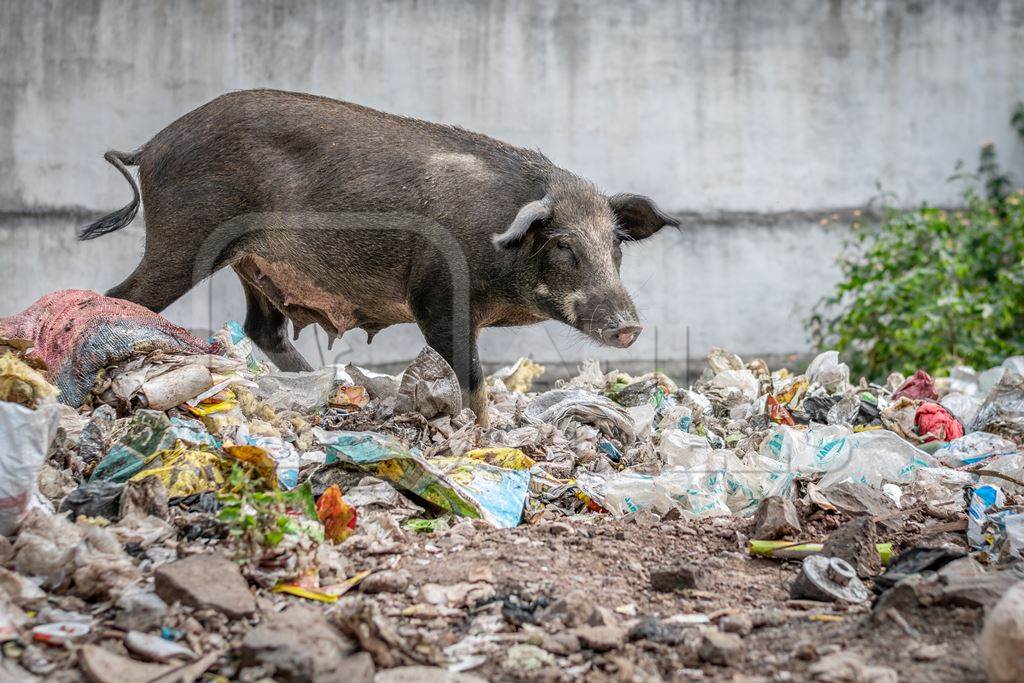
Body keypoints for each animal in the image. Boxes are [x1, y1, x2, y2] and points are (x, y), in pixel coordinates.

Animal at [81, 89, 679, 423]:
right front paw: (485, 435)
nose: (629, 327)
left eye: (616, 244)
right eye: (563, 246)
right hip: (183, 240)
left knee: (262, 329)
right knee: (122, 297)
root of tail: (151, 146)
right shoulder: (437, 298)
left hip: (252, 263)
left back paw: (322, 391)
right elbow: (472, 379)